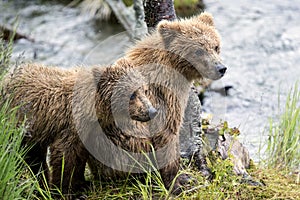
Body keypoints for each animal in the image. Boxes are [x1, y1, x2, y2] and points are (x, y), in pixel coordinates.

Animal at [2, 60, 157, 195]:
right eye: (132, 95)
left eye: (144, 90)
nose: (152, 111)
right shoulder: (71, 126)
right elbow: (65, 155)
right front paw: (63, 189)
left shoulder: (88, 133)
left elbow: (80, 157)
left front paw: (81, 183)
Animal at [88, 11, 226, 195]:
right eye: (198, 51)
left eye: (216, 46)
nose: (220, 68)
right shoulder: (164, 97)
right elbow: (165, 136)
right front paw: (178, 182)